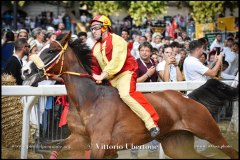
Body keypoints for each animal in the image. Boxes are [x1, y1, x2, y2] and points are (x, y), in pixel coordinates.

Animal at [21, 32, 238, 159]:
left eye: (51, 50)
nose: (25, 70)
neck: (89, 99)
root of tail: (188, 98)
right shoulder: (78, 138)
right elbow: (54, 148)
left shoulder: (100, 143)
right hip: (176, 144)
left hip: (210, 132)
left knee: (231, 151)